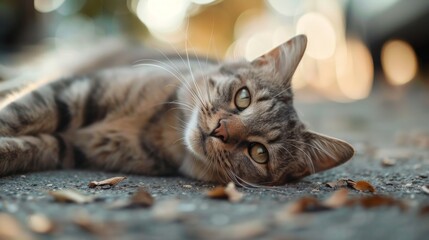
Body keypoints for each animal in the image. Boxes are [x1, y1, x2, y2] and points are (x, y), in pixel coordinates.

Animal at [0, 35, 352, 186]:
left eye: (259, 152)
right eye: (243, 98)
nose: (220, 130)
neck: (159, 128)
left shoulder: (65, 146)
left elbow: (22, 146)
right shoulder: (78, 89)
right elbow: (16, 114)